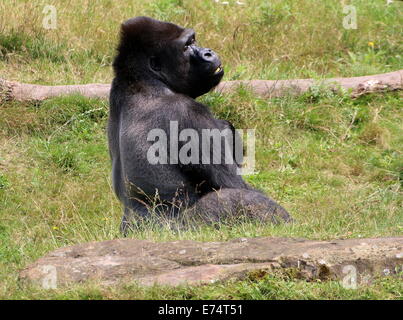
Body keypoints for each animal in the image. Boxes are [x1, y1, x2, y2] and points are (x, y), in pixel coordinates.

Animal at [107, 16, 290, 234]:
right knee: (237, 198)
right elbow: (234, 185)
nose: (208, 51)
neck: (144, 81)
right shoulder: (188, 113)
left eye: (193, 40)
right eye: (186, 46)